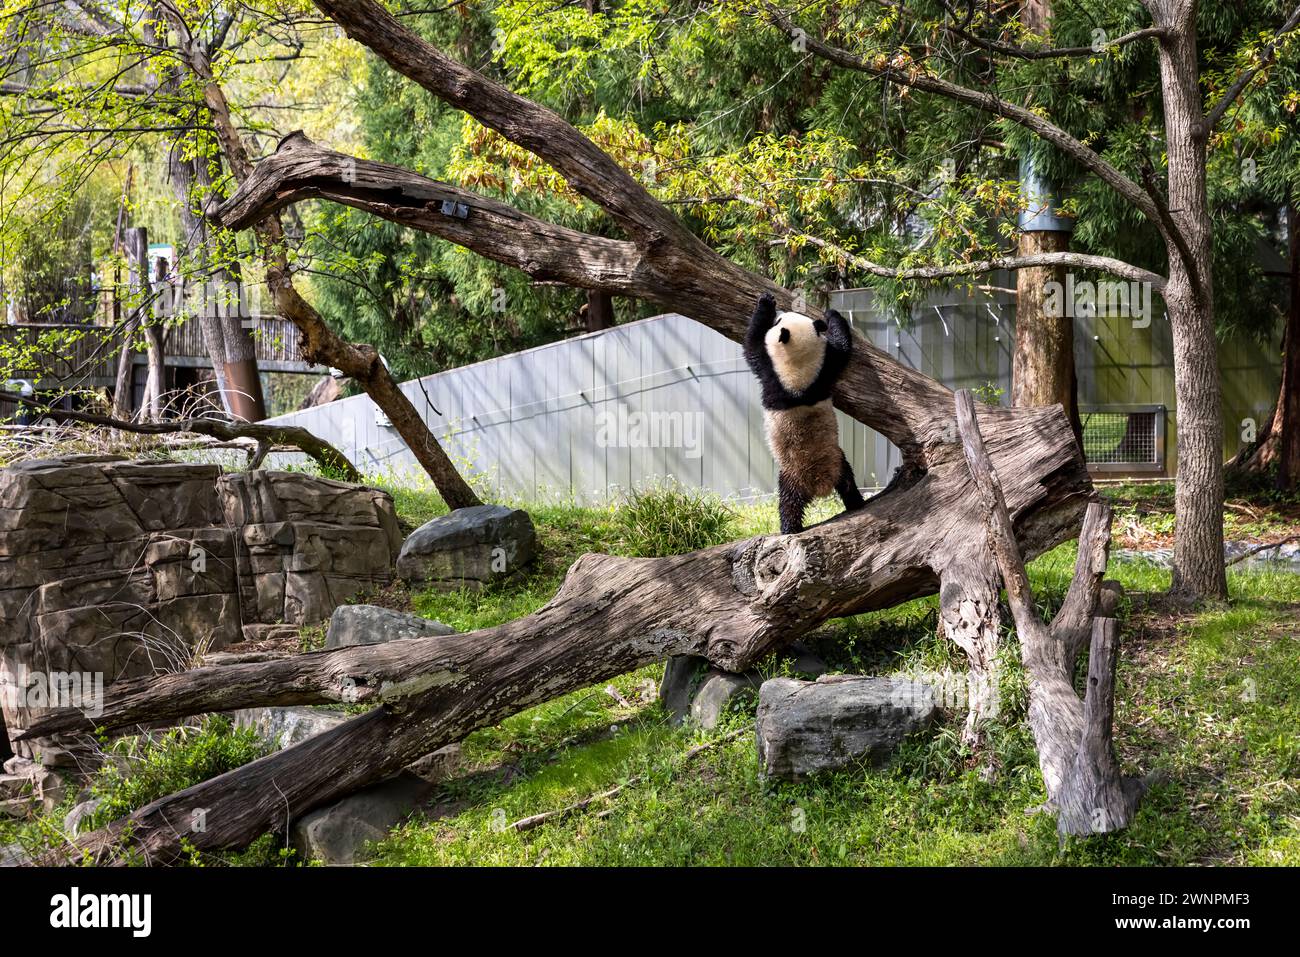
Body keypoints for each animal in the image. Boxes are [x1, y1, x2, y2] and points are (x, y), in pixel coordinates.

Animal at [743, 291, 863, 535]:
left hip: (793, 474)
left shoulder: (771, 371)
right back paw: (857, 503)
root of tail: (820, 483)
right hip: (838, 462)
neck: (799, 370)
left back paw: (789, 528)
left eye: (779, 321)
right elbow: (842, 349)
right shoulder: (823, 371)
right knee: (848, 483)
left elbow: (752, 345)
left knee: (788, 502)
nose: (780, 313)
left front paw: (765, 303)